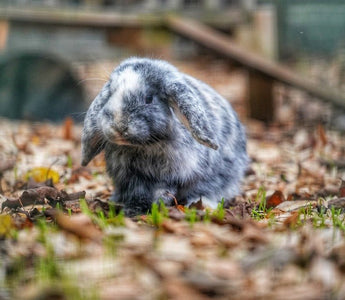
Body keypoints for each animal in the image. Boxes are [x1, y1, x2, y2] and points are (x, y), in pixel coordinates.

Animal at [80, 56, 247, 216]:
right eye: (110, 94)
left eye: (148, 99)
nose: (119, 125)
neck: (144, 146)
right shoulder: (131, 178)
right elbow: (137, 194)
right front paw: (132, 210)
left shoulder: (171, 177)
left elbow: (162, 192)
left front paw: (155, 206)